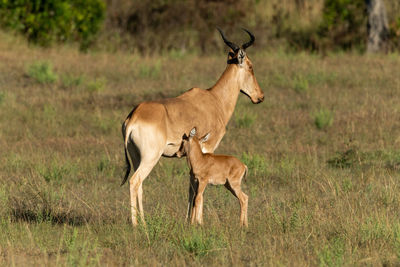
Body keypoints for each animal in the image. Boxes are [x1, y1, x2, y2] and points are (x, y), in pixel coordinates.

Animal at [122, 28, 264, 227]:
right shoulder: (207, 148)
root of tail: (134, 116)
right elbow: (199, 189)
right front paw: (199, 221)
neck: (214, 99)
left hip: (136, 157)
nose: (260, 97)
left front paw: (188, 221)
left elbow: (191, 186)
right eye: (251, 66)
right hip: (151, 157)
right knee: (135, 181)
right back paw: (136, 224)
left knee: (140, 184)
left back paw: (143, 221)